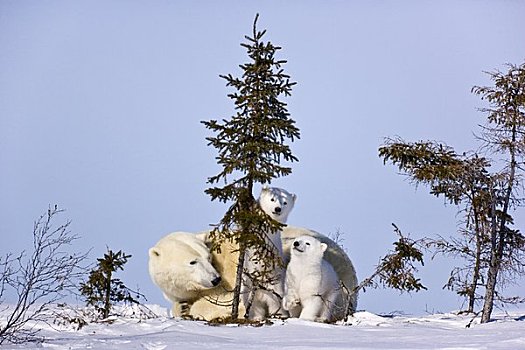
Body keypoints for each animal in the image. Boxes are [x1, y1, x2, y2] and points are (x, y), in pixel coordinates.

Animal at [242, 186, 294, 320]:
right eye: (272, 199)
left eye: (285, 202)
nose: (277, 209)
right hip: (248, 286)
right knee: (254, 305)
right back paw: (256, 317)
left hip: (276, 288)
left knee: (276, 304)